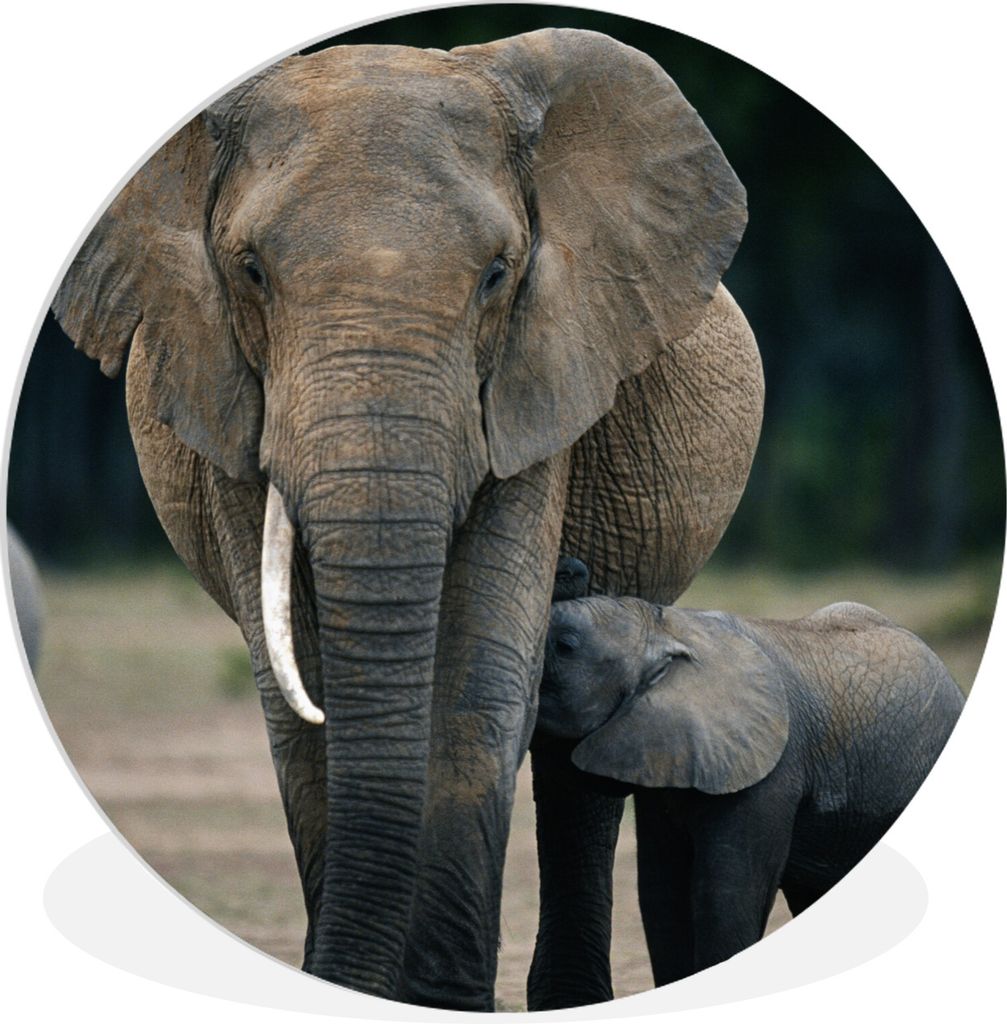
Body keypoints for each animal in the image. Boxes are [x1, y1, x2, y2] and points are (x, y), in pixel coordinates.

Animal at [50, 29, 763, 1008]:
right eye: (250, 271)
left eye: (498, 274)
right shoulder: (225, 400)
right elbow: (297, 697)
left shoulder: (537, 378)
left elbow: (476, 678)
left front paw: (436, 1001)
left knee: (582, 759)